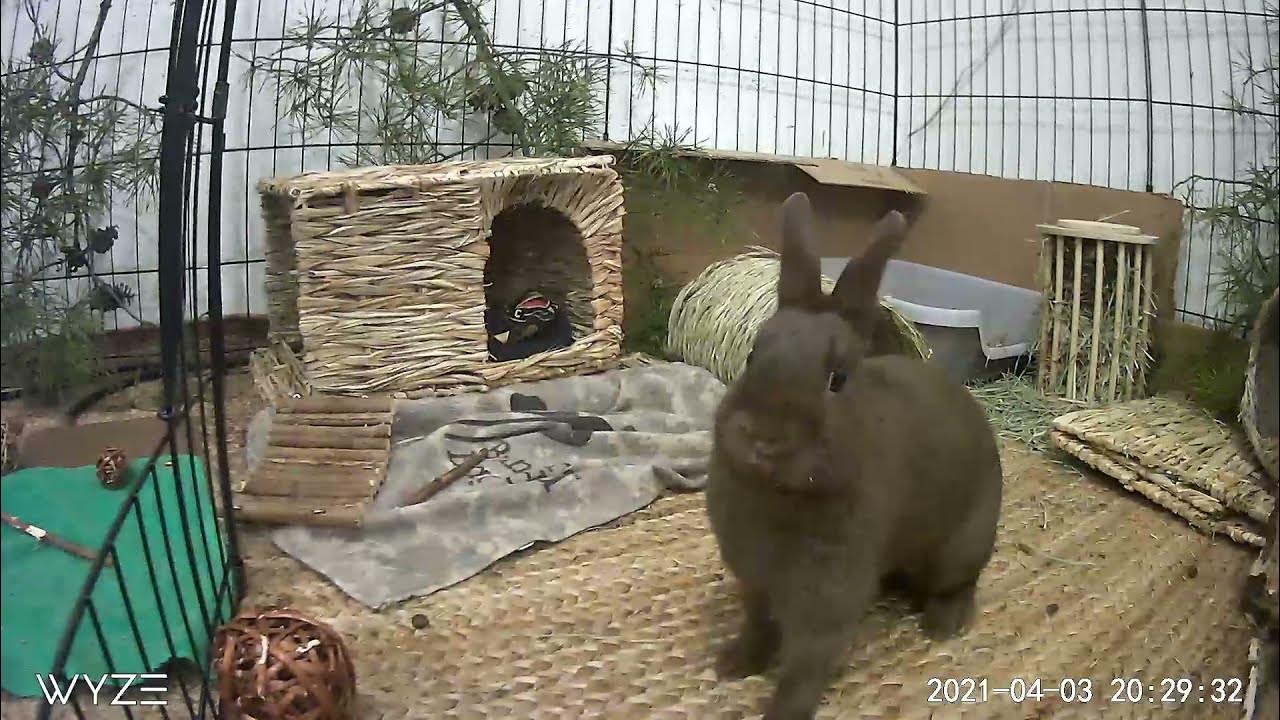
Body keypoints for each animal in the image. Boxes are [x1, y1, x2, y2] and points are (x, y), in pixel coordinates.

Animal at [705, 192, 1004, 720]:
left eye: (837, 378)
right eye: (752, 356)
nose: (764, 440)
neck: (778, 496)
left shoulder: (829, 597)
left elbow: (807, 661)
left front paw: (783, 711)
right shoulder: (757, 583)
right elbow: (759, 626)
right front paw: (735, 663)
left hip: (962, 546)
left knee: (960, 583)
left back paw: (942, 625)